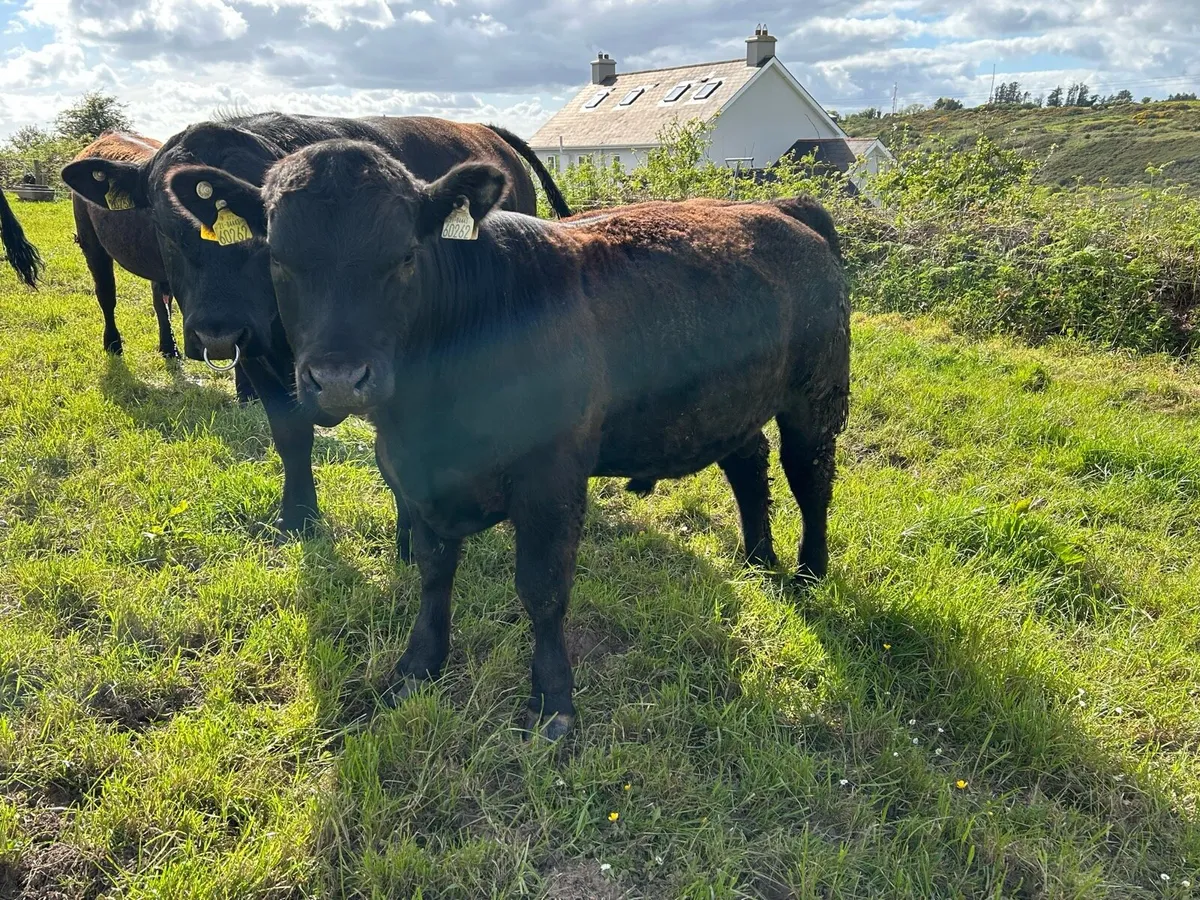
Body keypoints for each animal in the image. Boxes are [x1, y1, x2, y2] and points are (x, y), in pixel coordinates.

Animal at [62, 113, 572, 536]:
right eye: (165, 227)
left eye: (257, 244)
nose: (217, 334)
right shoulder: (261, 358)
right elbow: (290, 436)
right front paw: (298, 517)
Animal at [164, 140, 850, 739]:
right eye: (278, 256)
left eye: (406, 255)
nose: (337, 379)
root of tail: (781, 207)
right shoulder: (412, 473)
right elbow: (434, 572)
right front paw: (417, 668)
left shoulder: (552, 478)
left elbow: (542, 589)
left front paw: (552, 702)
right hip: (734, 399)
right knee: (749, 464)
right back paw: (755, 557)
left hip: (816, 394)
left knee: (809, 478)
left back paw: (809, 573)